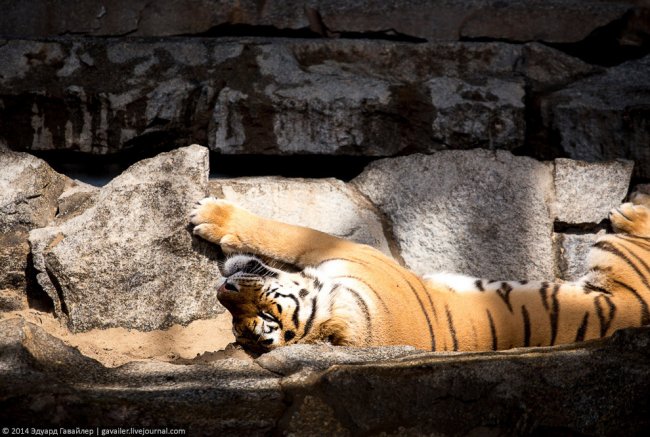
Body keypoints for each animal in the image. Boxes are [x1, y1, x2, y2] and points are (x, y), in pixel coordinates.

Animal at [187, 192, 648, 352]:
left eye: (266, 314)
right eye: (239, 326)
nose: (224, 288)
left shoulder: (350, 250)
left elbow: (285, 233)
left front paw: (211, 216)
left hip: (610, 251)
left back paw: (630, 211)